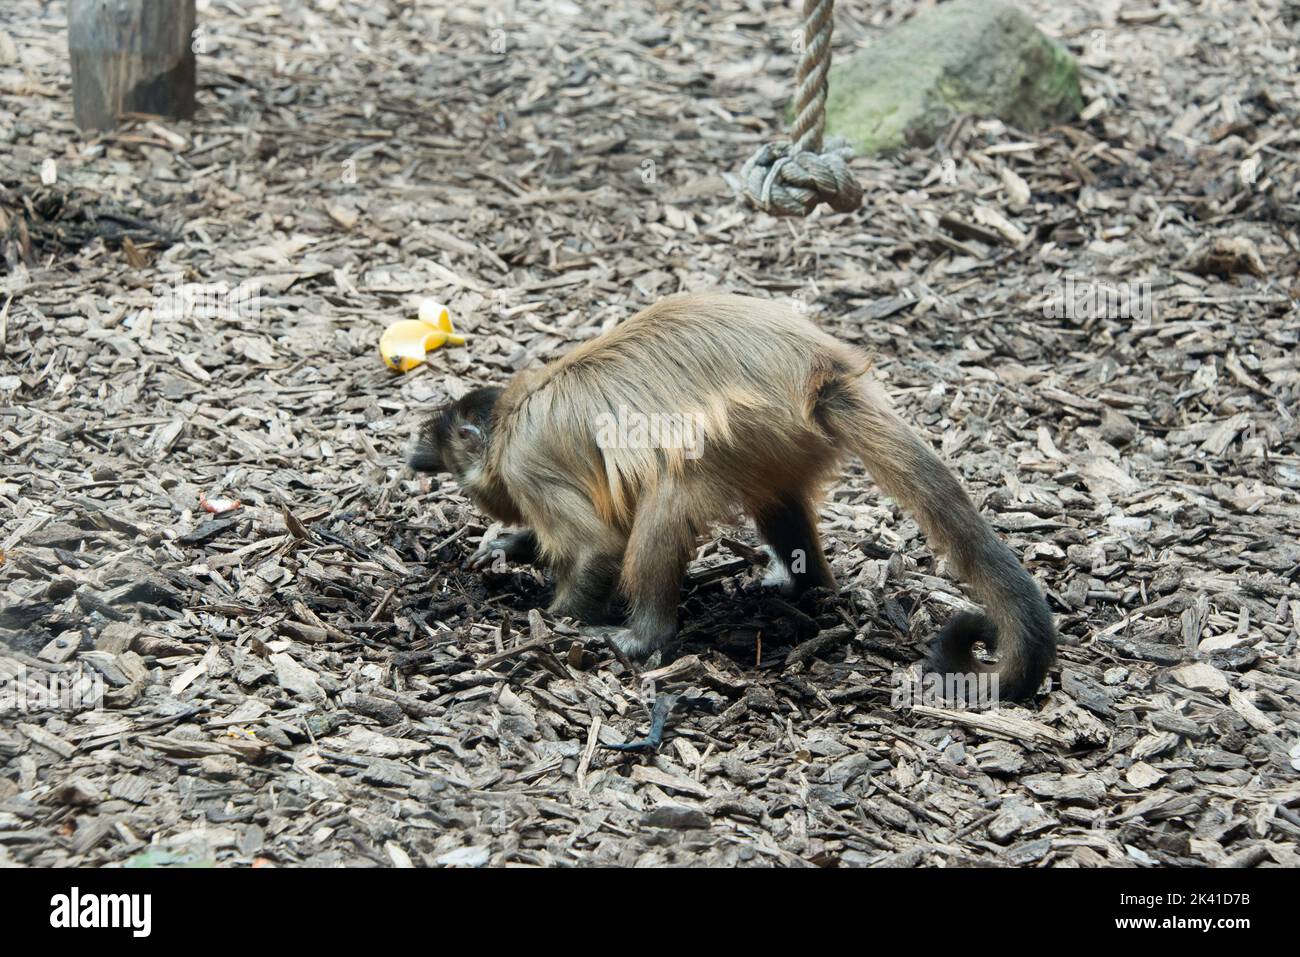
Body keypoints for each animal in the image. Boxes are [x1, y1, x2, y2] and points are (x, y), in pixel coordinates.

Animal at [410, 293, 1055, 701]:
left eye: (448, 460)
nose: (419, 459)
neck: (513, 415)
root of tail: (820, 372)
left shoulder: (524, 465)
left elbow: (598, 547)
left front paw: (553, 618)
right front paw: (509, 547)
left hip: (748, 423)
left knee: (673, 487)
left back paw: (644, 635)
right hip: (780, 439)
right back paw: (806, 589)